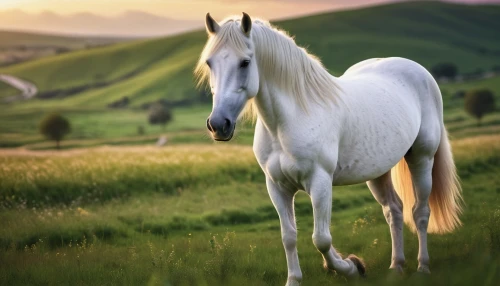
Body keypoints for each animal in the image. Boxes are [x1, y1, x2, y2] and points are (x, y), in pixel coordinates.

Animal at [194, 12, 460, 284]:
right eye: (209, 63)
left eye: (245, 62)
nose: (218, 125)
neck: (291, 119)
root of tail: (419, 71)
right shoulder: (277, 187)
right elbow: (288, 236)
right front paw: (295, 279)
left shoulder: (320, 182)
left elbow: (321, 239)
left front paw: (351, 267)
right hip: (378, 171)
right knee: (393, 211)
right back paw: (396, 266)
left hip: (422, 158)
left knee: (420, 212)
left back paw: (422, 267)